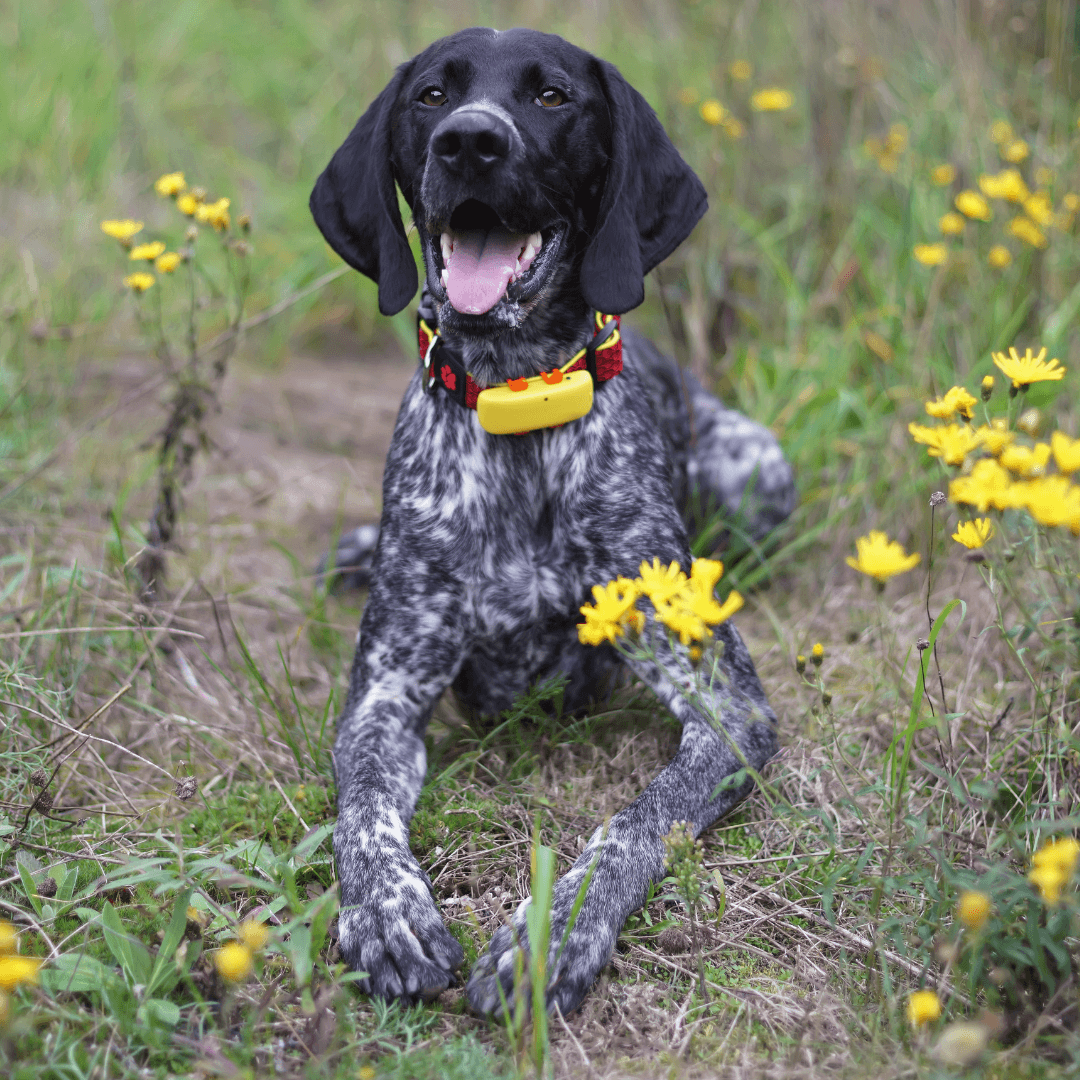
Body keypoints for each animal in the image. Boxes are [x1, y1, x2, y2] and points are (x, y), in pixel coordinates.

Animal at [308, 27, 799, 1019]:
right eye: (429, 95)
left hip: (760, 466)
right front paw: (387, 914)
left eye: (552, 96)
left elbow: (633, 823)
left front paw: (554, 934)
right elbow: (362, 810)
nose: (469, 142)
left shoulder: (727, 709)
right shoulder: (384, 697)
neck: (520, 397)